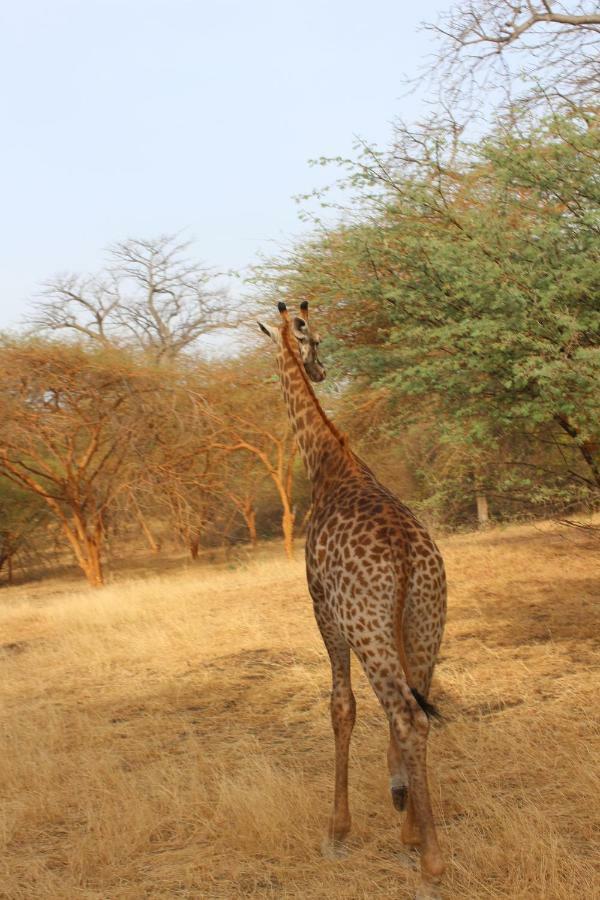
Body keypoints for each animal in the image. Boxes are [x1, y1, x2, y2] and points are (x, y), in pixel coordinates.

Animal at [258, 300, 446, 900]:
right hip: (425, 619)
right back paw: (413, 837)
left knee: (406, 714)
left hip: (366, 624)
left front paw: (336, 834)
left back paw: (433, 862)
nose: (319, 370)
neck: (327, 462)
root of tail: (409, 556)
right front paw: (398, 802)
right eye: (315, 340)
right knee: (416, 710)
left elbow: (341, 707)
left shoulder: (322, 607)